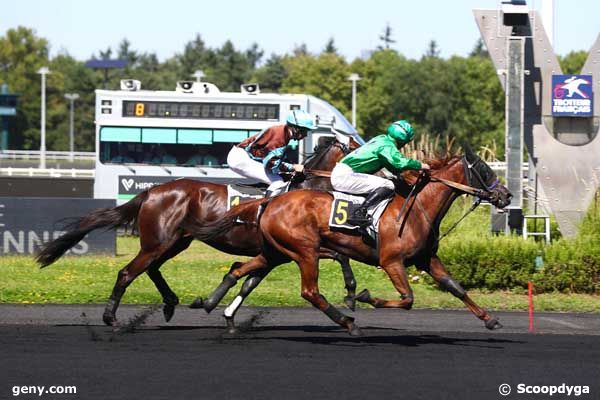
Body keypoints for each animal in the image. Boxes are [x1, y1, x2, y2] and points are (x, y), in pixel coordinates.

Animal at [37, 136, 360, 326]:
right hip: (157, 242)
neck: (303, 193)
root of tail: (152, 191)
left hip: (175, 242)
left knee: (152, 269)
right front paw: (351, 293)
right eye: (357, 145)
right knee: (128, 272)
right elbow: (340, 256)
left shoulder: (276, 255)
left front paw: (217, 308)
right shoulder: (296, 249)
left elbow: (247, 283)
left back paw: (169, 303)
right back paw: (110, 318)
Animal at [186, 145, 510, 336]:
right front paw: (363, 296)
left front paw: (489, 319)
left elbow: (456, 287)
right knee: (310, 292)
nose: (506, 196)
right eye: (484, 170)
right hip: (305, 250)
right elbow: (407, 299)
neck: (417, 207)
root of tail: (272, 202)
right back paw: (348, 323)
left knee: (239, 270)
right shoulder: (391, 261)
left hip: (277, 252)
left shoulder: (426, 259)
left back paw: (213, 304)